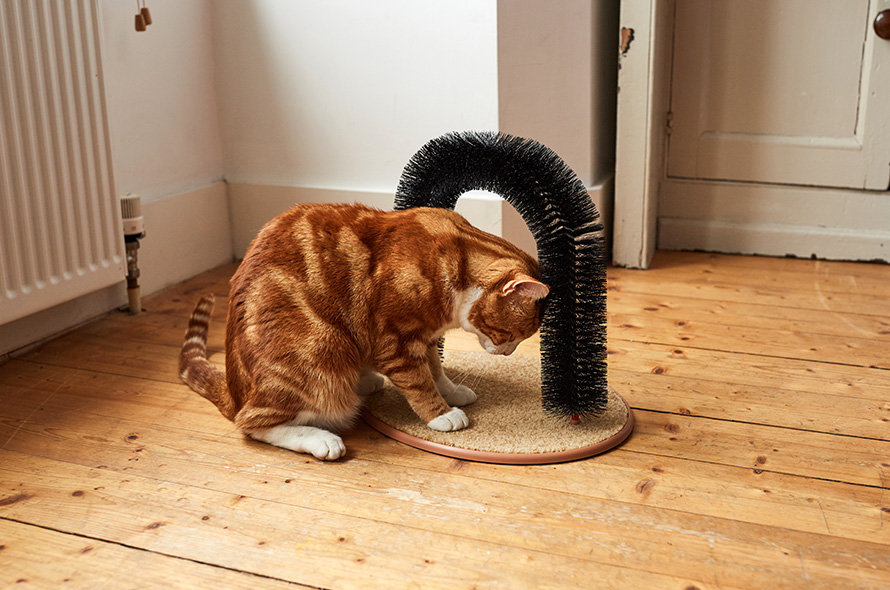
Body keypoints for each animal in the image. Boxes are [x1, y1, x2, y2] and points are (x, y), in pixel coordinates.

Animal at [179, 204, 548, 462]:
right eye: (512, 335)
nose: (507, 353)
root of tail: (234, 389)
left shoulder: (425, 336)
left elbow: (436, 370)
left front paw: (452, 391)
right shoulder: (396, 340)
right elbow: (420, 382)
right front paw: (441, 414)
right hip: (323, 353)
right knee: (252, 422)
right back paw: (322, 440)